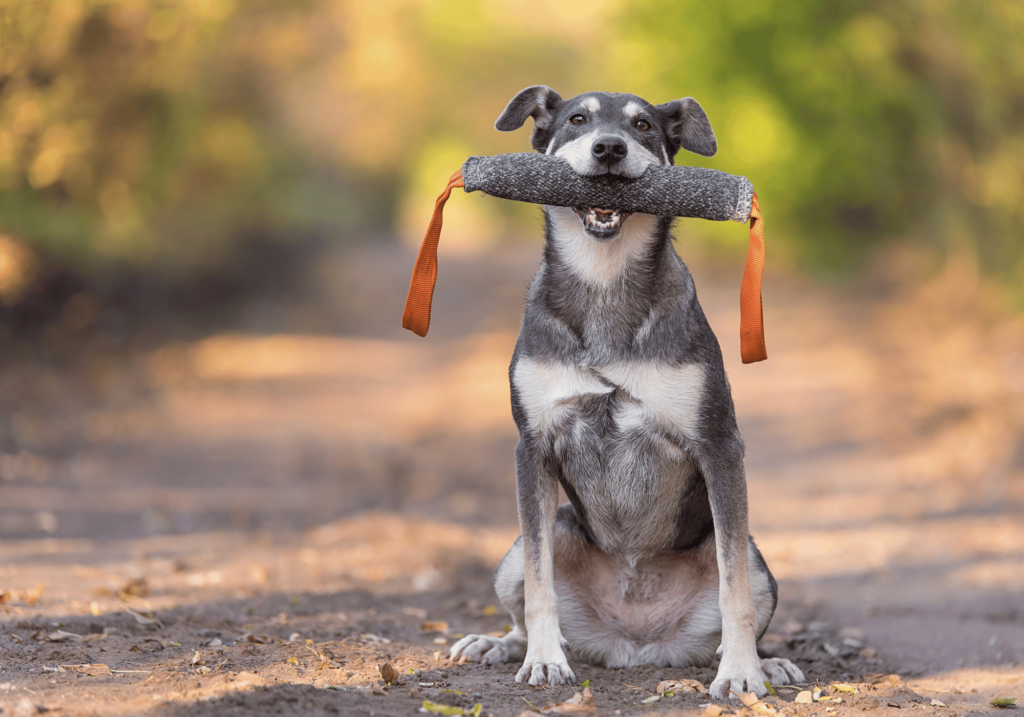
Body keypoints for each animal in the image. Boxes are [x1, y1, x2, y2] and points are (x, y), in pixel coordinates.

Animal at [452, 85, 802, 700]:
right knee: (525, 599)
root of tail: (634, 644)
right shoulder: (532, 448)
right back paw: (501, 645)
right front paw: (544, 661)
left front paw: (740, 672)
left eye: (642, 125)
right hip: (526, 544)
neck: (605, 281)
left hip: (758, 559)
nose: (610, 148)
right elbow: (540, 586)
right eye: (577, 119)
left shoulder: (719, 445)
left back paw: (768, 662)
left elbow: (732, 589)